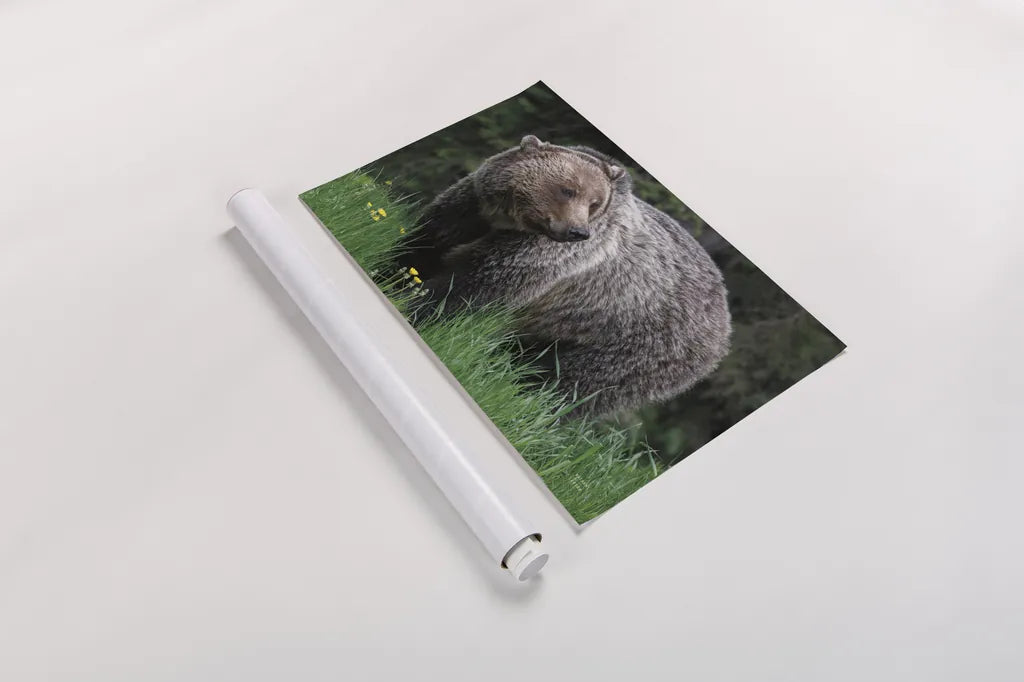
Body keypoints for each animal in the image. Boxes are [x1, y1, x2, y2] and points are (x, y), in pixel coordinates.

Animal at [402, 134, 731, 419]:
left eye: (594, 202)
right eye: (568, 190)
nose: (577, 231)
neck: (510, 221)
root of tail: (724, 327)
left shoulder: (546, 256)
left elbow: (476, 281)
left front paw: (416, 305)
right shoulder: (473, 206)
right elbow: (432, 236)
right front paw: (402, 270)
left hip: (639, 342)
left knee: (571, 380)